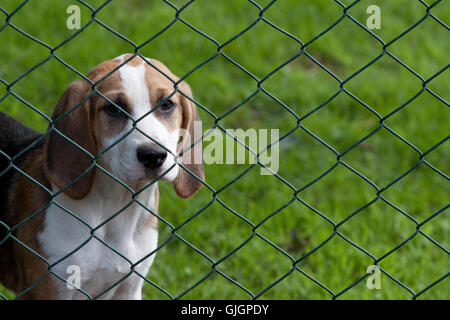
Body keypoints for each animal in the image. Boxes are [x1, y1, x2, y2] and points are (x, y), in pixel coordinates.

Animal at [0, 53, 204, 298]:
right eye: (114, 109)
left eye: (166, 105)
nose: (153, 156)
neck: (116, 206)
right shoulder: (51, 288)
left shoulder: (130, 289)